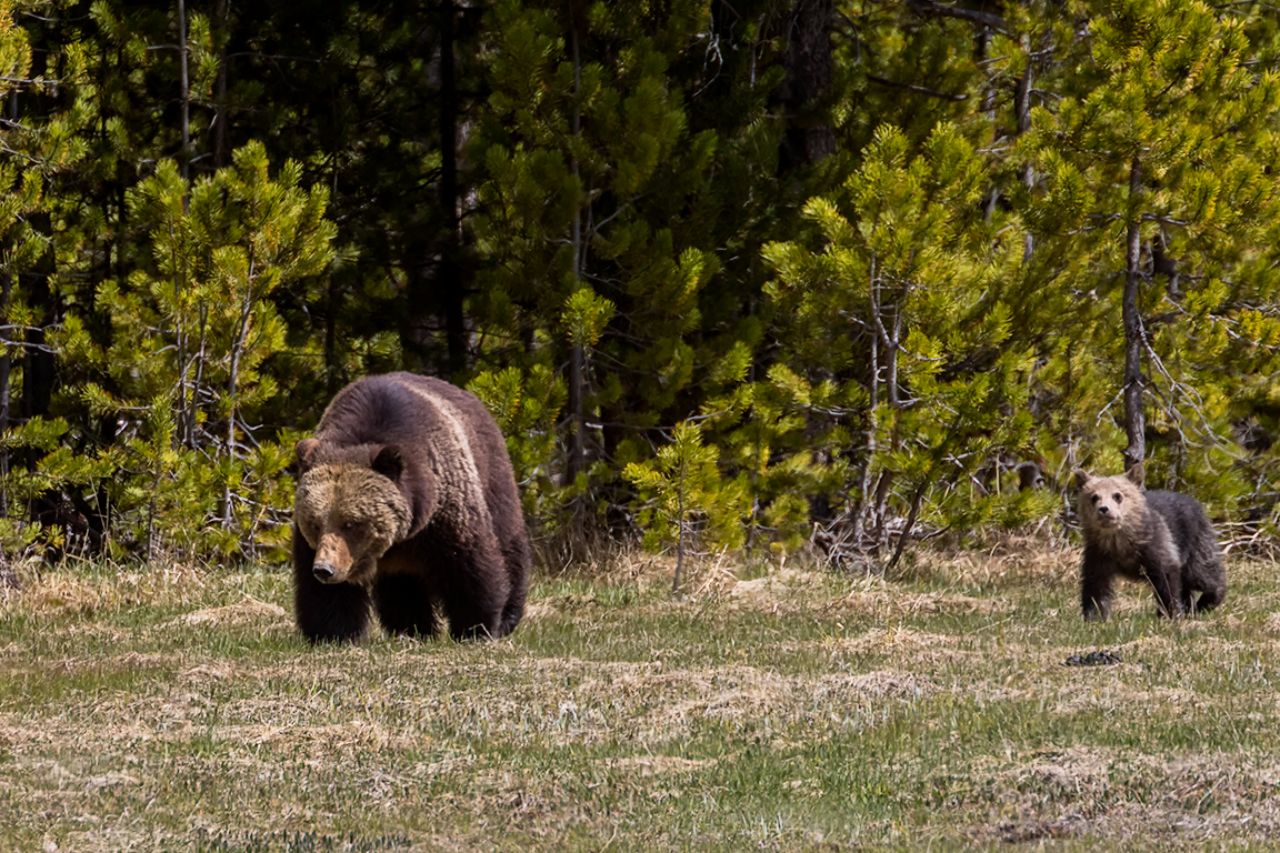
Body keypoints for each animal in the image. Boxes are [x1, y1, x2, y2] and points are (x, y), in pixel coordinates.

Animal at [291, 372, 530, 643]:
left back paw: (509, 614)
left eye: (350, 523)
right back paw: (412, 628)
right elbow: (324, 594)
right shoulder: (312, 544)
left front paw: (476, 627)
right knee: (403, 589)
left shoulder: (444, 510)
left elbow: (469, 566)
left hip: (492, 475)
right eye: (315, 523)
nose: (325, 569)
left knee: (508, 543)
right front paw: (333, 633)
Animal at [1073, 464, 1226, 621]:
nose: (1103, 509)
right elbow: (1096, 587)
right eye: (1094, 497)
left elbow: (1167, 579)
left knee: (1202, 573)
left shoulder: (1157, 545)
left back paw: (1208, 601)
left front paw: (1170, 613)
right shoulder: (1099, 553)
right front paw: (1094, 617)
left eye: (1117, 495)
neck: (1119, 541)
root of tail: (1195, 501)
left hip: (1195, 541)